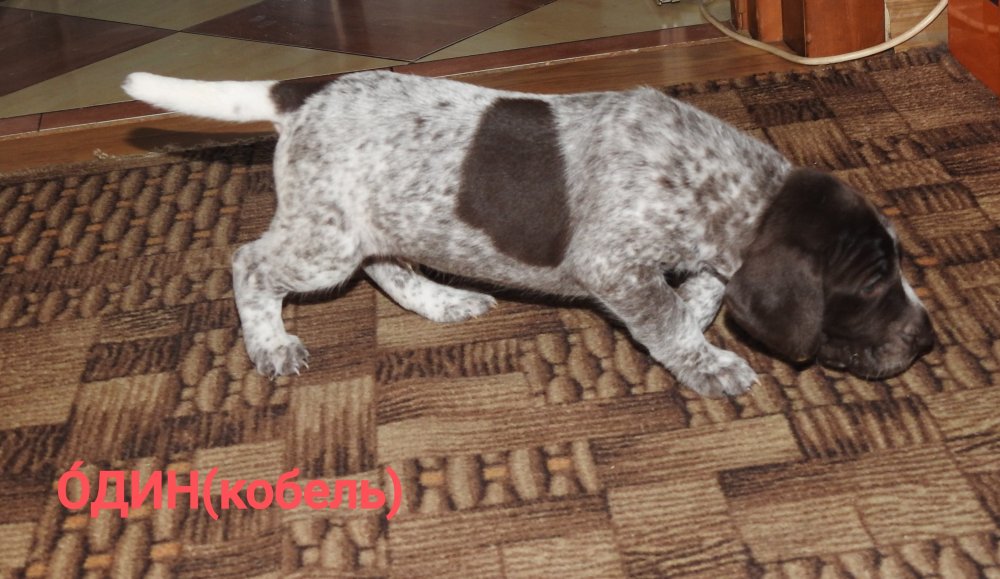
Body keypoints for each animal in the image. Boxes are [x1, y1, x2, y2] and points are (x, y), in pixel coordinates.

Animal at [123, 70, 935, 397]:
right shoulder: (615, 265)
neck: (734, 187)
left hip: (371, 219)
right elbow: (670, 318)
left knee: (387, 266)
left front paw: (705, 322)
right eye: (871, 282)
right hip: (325, 240)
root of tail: (303, 91)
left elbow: (701, 293)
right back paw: (270, 342)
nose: (928, 339)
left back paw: (443, 301)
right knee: (251, 264)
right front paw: (708, 364)